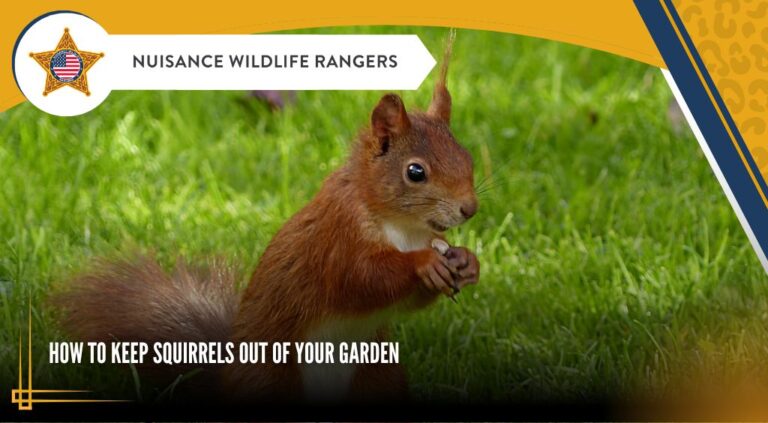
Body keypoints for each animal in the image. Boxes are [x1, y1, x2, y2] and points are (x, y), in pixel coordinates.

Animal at [55, 32, 479, 404]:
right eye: (415, 172)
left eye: (468, 156)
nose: (470, 208)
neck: (402, 228)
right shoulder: (336, 237)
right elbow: (361, 277)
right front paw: (423, 263)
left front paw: (467, 262)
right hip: (274, 377)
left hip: (378, 377)